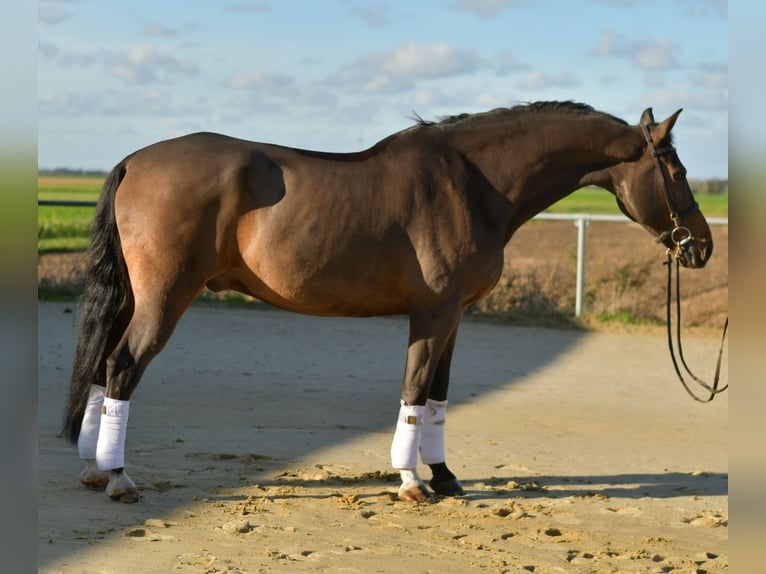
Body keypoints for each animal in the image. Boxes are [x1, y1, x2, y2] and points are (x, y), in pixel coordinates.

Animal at [63, 101, 713, 503]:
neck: (474, 184)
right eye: (678, 171)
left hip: (135, 298)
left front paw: (445, 476)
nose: (702, 246)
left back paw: (93, 469)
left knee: (101, 368)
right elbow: (415, 389)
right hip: (164, 298)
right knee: (122, 366)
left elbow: (440, 395)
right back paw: (118, 477)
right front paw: (410, 480)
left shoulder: (456, 316)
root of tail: (135, 161)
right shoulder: (432, 313)